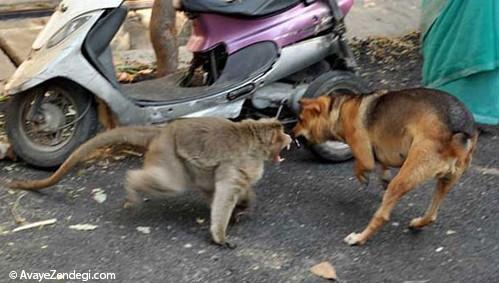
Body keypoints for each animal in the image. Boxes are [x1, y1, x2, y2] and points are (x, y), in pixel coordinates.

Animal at [5, 117, 292, 248]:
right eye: (283, 134)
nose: (290, 138)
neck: (255, 139)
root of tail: (163, 130)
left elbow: (230, 189)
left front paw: (245, 207)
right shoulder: (239, 162)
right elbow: (225, 191)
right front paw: (220, 236)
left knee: (200, 183)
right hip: (168, 153)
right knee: (172, 184)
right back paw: (132, 185)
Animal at [294, 88, 478, 246]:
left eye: (301, 119)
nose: (291, 132)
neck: (339, 109)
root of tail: (458, 134)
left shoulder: (365, 155)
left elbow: (360, 165)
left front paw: (362, 176)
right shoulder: (385, 153)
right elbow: (382, 165)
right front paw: (382, 178)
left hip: (404, 179)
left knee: (381, 216)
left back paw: (359, 238)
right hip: (446, 181)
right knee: (432, 215)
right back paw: (417, 223)